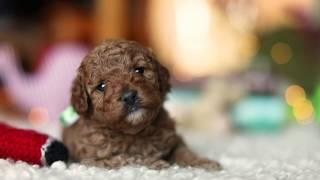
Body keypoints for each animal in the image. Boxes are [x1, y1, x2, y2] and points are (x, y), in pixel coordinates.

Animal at [63, 39, 221, 170]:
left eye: (139, 70)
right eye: (101, 86)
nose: (129, 97)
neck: (135, 133)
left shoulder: (173, 139)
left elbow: (184, 151)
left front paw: (203, 162)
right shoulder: (92, 160)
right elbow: (129, 157)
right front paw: (155, 162)